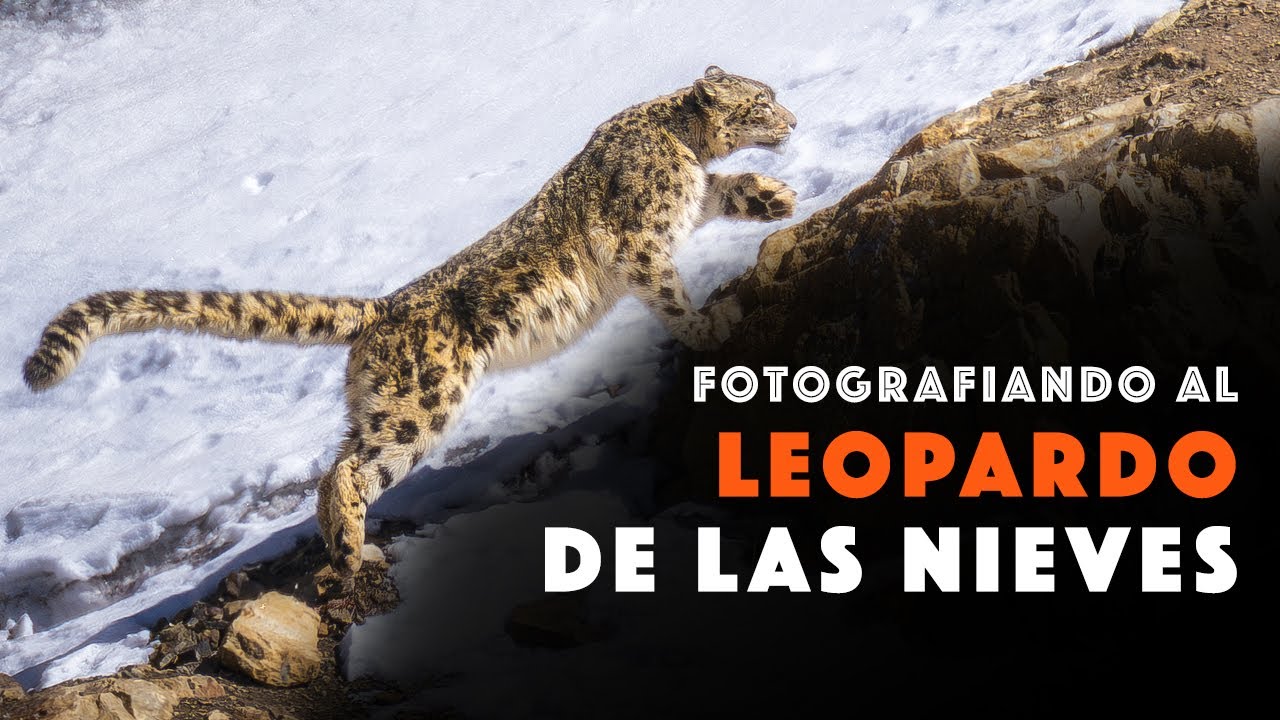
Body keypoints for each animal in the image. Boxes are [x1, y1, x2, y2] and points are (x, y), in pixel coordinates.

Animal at [22, 65, 799, 574]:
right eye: (762, 100)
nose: (793, 121)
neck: (680, 143)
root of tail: (384, 308)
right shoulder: (637, 243)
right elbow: (670, 293)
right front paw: (711, 325)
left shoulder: (687, 204)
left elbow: (721, 191)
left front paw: (773, 197)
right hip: (419, 406)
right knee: (350, 471)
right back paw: (351, 547)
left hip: (376, 407)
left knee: (336, 462)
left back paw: (347, 545)